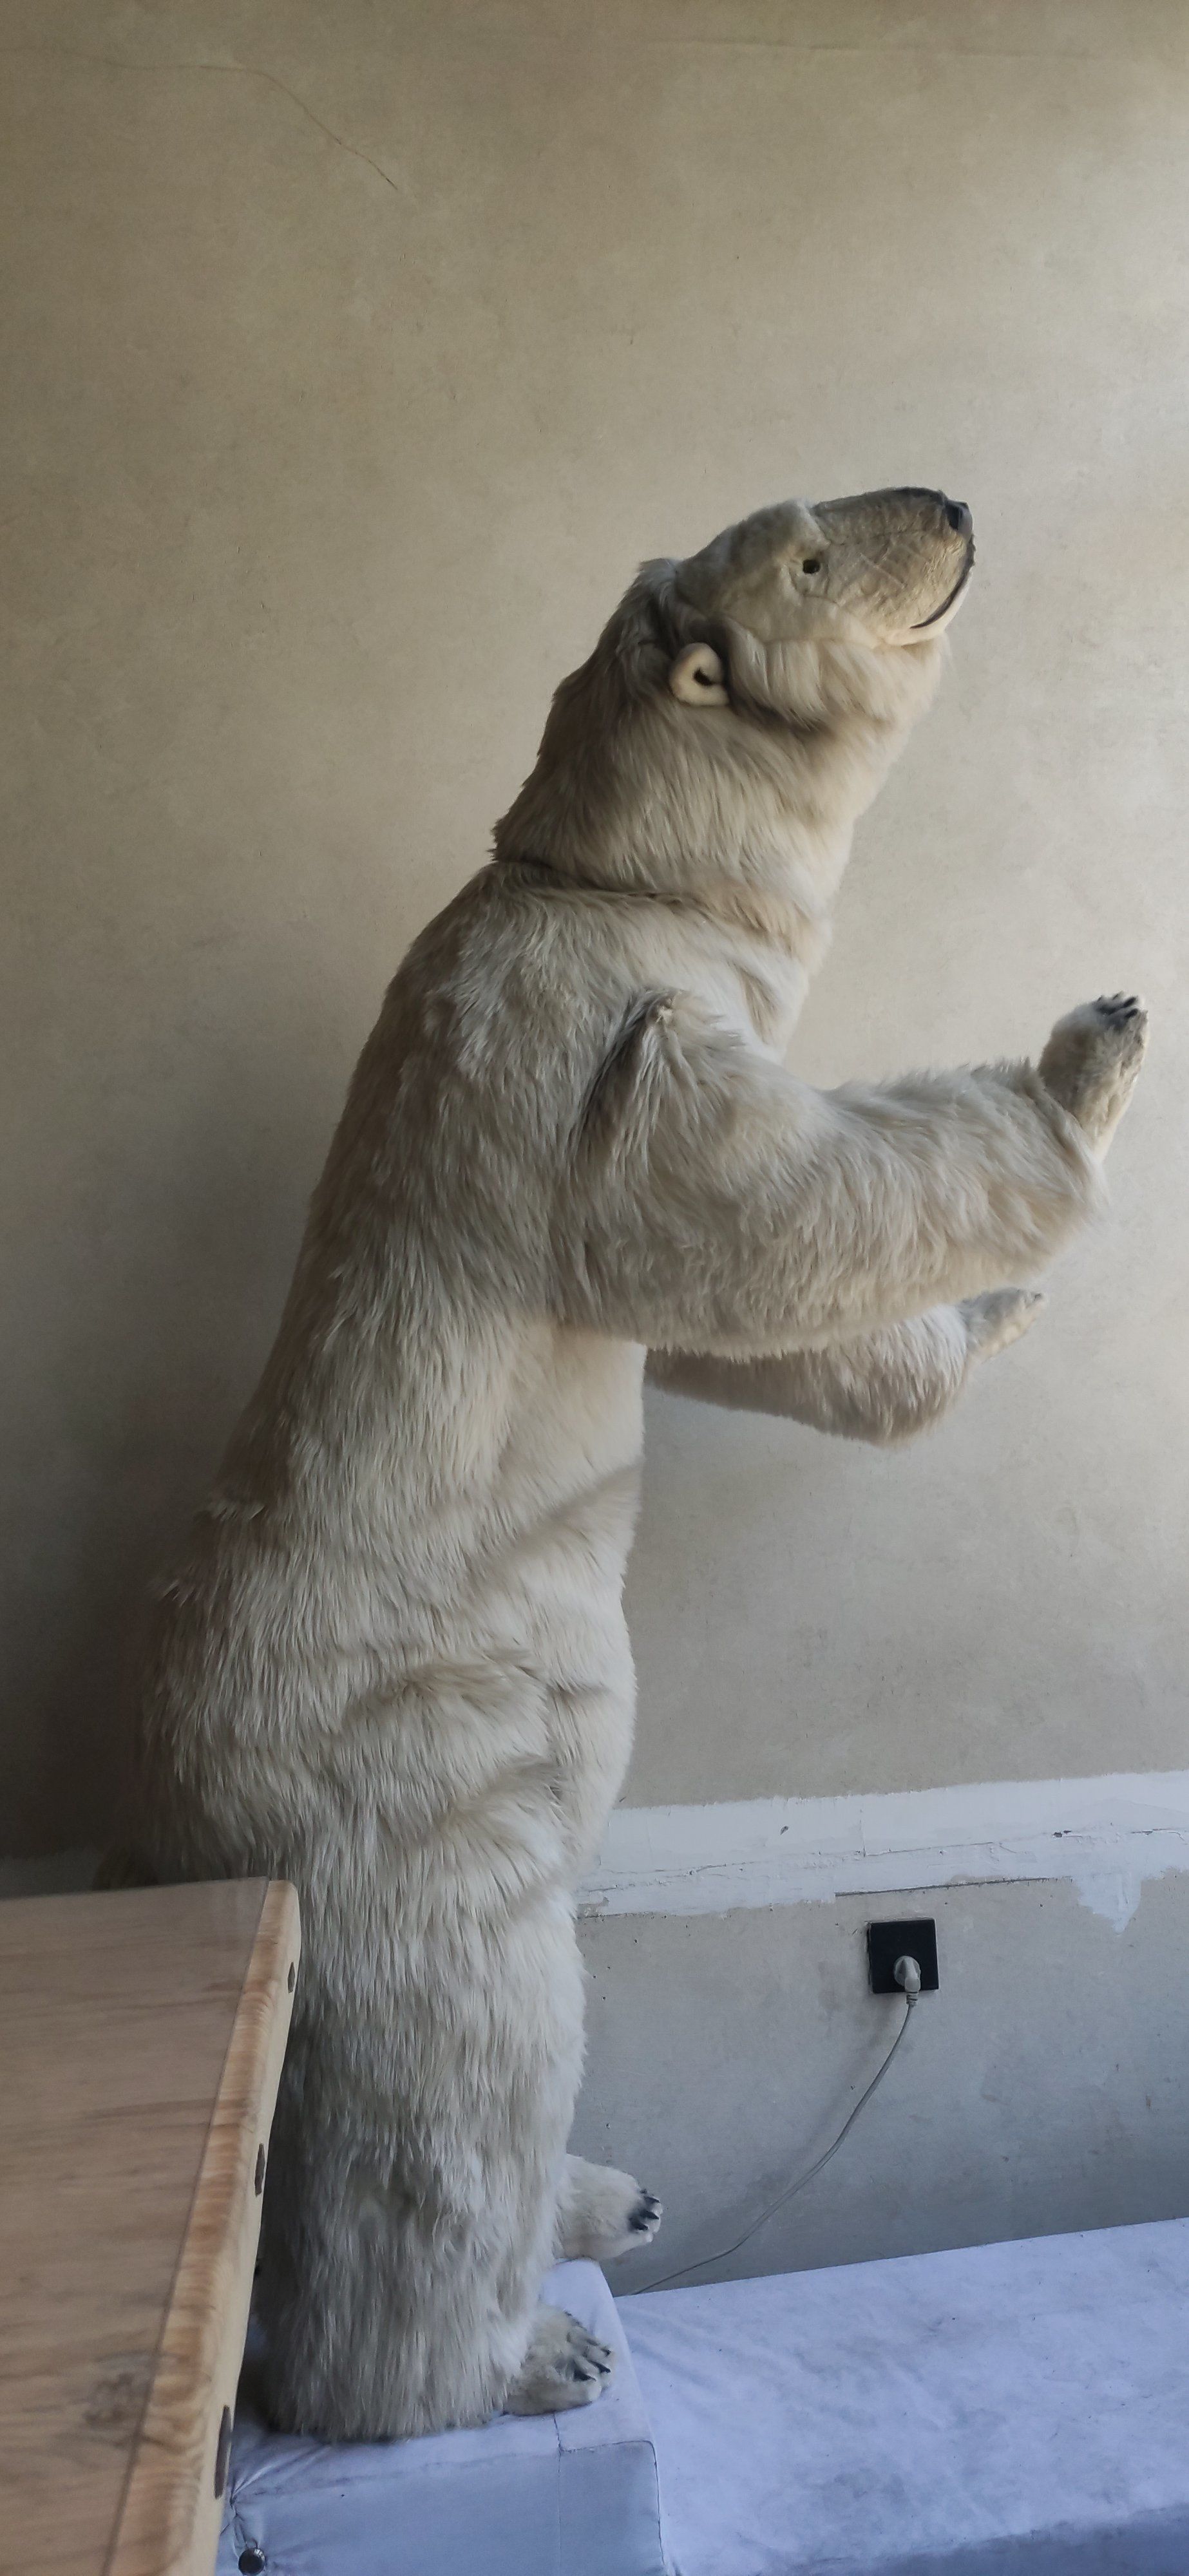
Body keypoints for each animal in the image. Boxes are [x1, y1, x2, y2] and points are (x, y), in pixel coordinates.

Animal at [123, 485, 1147, 2439]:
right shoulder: (576, 1028)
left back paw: (610, 2199)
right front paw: (1082, 1066)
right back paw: (520, 2348)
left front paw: (987, 1315)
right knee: (464, 2035)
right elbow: (736, 1202)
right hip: (402, 1765)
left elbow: (745, 1328)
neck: (590, 873)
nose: (950, 506)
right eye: (810, 549)